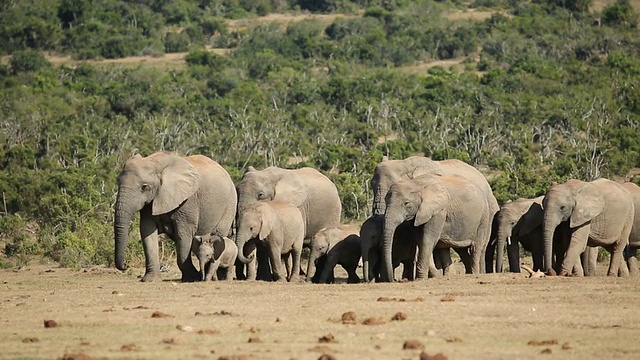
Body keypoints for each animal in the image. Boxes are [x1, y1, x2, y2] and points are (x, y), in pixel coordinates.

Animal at [114, 151, 236, 282]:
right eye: (118, 181)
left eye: (145, 187)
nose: (125, 266)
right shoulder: (151, 202)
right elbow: (147, 231)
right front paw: (150, 280)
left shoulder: (187, 202)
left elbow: (183, 235)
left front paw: (191, 278)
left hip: (229, 205)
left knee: (219, 235)